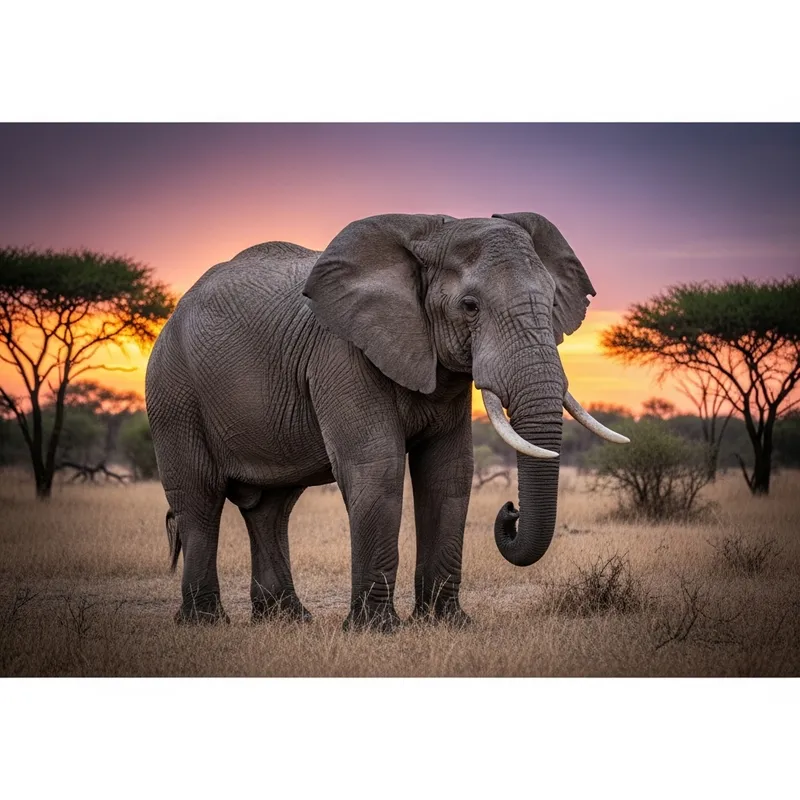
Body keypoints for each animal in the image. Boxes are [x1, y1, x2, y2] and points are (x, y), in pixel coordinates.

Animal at [145, 212, 628, 630]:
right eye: (470, 306)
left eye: (552, 302)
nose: (510, 510)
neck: (432, 234)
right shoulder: (341, 354)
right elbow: (377, 467)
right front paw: (376, 630)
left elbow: (449, 472)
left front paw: (447, 624)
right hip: (173, 392)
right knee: (199, 499)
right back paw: (205, 622)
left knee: (271, 507)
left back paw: (288, 619)